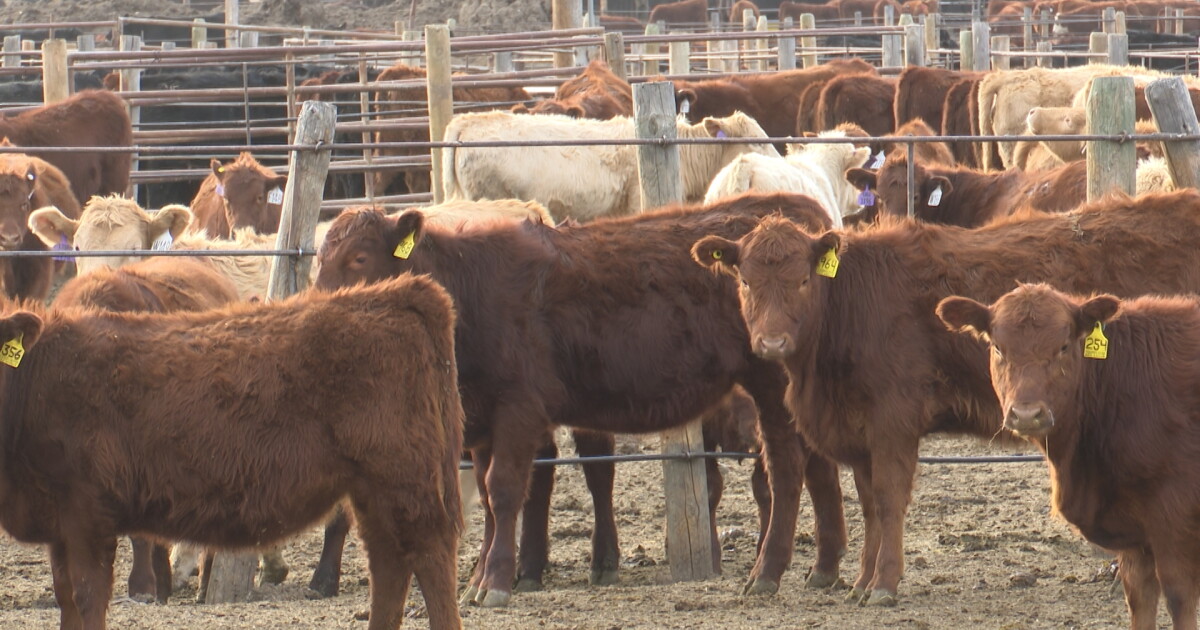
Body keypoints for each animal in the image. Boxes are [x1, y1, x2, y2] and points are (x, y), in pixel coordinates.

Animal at [0, 273, 465, 630]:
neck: (39, 379)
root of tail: (396, 291)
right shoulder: (61, 526)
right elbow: (67, 600)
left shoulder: (88, 518)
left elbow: (87, 597)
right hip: (372, 490)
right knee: (388, 563)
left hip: (405, 481)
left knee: (431, 558)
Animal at [314, 192, 851, 607]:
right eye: (319, 259)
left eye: (358, 259)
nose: (317, 308)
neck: (472, 288)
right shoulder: (482, 418)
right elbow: (487, 498)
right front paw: (479, 577)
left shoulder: (519, 408)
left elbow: (505, 490)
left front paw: (495, 581)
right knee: (818, 467)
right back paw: (823, 568)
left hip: (771, 382)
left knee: (785, 469)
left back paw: (767, 571)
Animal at [936, 283, 1200, 630]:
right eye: (998, 347)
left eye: (1063, 346)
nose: (1026, 414)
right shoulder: (1135, 539)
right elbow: (1140, 600)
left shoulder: (1175, 523)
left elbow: (1179, 599)